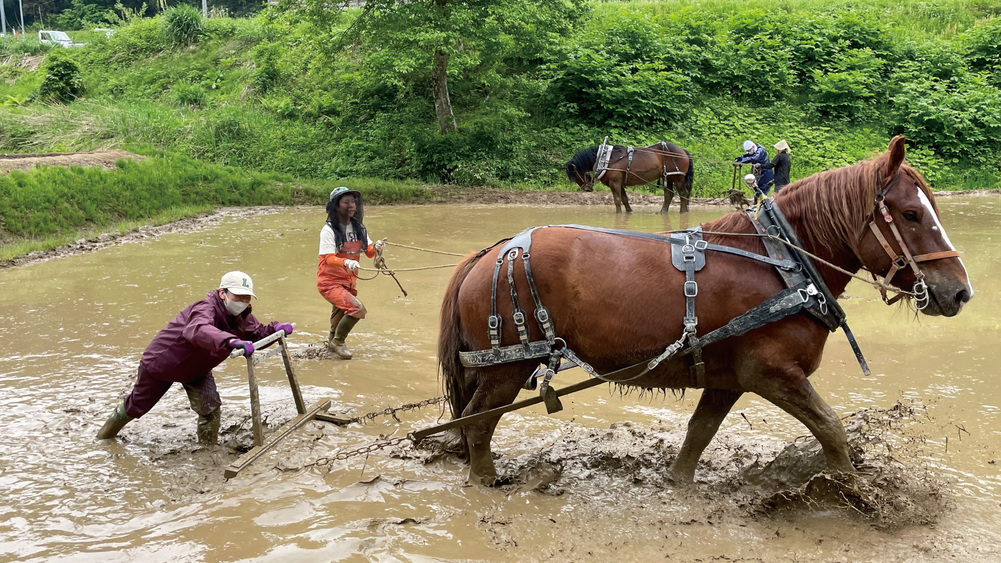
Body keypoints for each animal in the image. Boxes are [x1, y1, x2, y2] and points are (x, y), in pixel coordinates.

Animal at [564, 141, 696, 213]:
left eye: (575, 175)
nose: (587, 188)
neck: (606, 158)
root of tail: (683, 151)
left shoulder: (615, 183)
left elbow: (617, 200)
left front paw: (619, 214)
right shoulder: (620, 183)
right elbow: (624, 199)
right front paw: (629, 212)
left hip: (677, 177)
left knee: (683, 194)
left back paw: (682, 212)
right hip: (667, 177)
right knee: (669, 194)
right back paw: (663, 212)